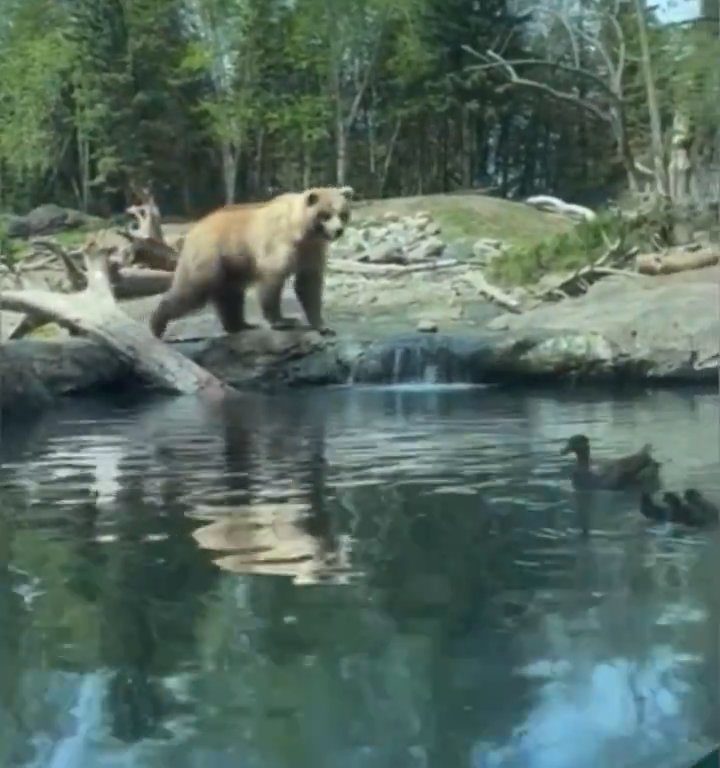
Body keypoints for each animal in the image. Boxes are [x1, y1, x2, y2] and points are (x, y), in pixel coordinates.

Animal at [150, 184, 352, 338]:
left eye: (343, 213)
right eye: (325, 214)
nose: (338, 231)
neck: (302, 233)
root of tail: (193, 230)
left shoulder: (311, 253)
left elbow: (309, 286)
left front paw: (323, 326)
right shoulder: (278, 246)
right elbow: (272, 281)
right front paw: (283, 320)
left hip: (231, 266)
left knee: (230, 295)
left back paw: (240, 324)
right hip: (210, 257)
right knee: (192, 290)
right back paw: (157, 324)